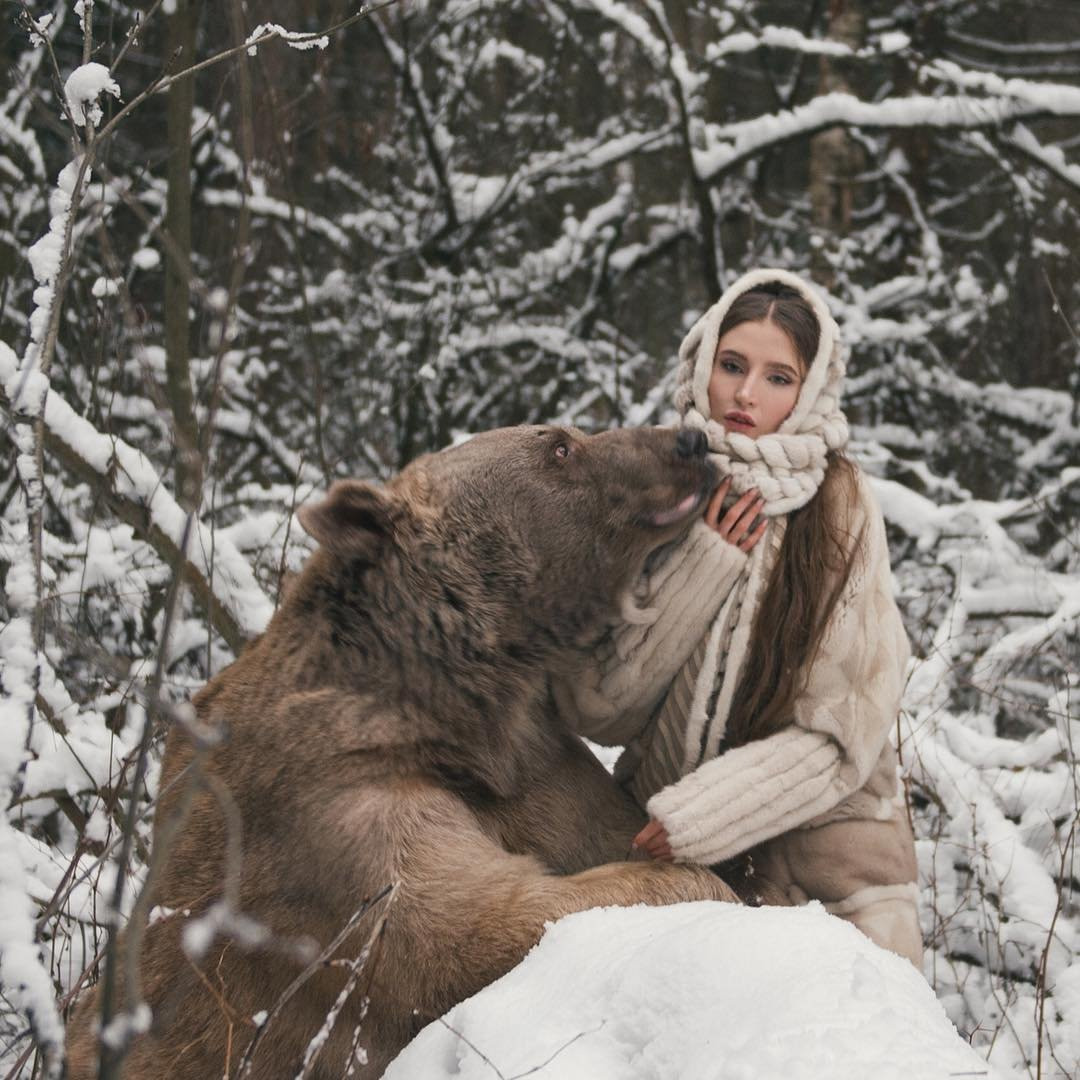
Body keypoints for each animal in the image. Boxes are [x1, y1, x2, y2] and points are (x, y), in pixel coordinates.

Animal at [63, 421, 738, 1080]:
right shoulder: (338, 831)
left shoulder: (533, 767)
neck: (450, 713)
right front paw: (697, 885)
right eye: (561, 447)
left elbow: (603, 832)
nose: (689, 441)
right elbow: (482, 923)